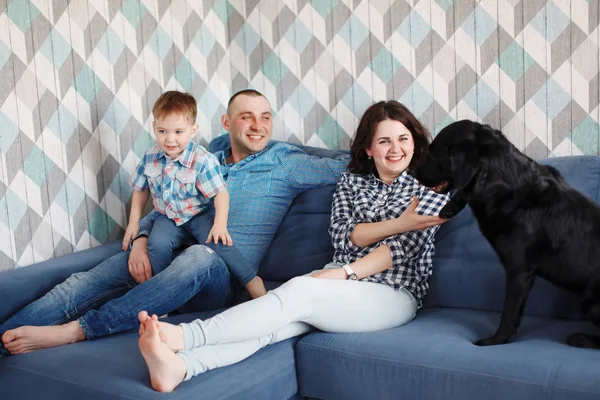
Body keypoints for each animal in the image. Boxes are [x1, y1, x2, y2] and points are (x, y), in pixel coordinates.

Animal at [410, 119, 600, 346]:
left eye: (432, 154)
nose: (412, 172)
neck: (502, 181)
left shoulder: (518, 271)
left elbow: (509, 311)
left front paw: (495, 340)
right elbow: (464, 189)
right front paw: (450, 207)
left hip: (590, 304)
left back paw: (581, 338)